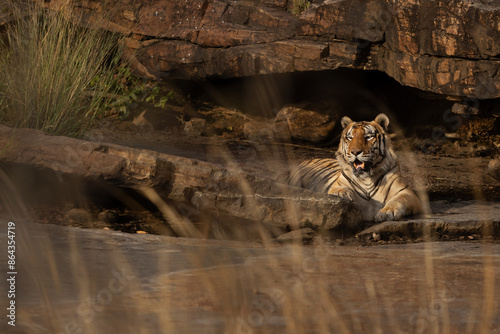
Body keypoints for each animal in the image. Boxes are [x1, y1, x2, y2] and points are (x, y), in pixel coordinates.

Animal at [278, 113, 422, 222]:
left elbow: (398, 200)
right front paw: (344, 194)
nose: (355, 152)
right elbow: (338, 190)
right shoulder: (337, 185)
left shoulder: (406, 192)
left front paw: (387, 212)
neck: (367, 178)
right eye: (350, 137)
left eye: (368, 137)